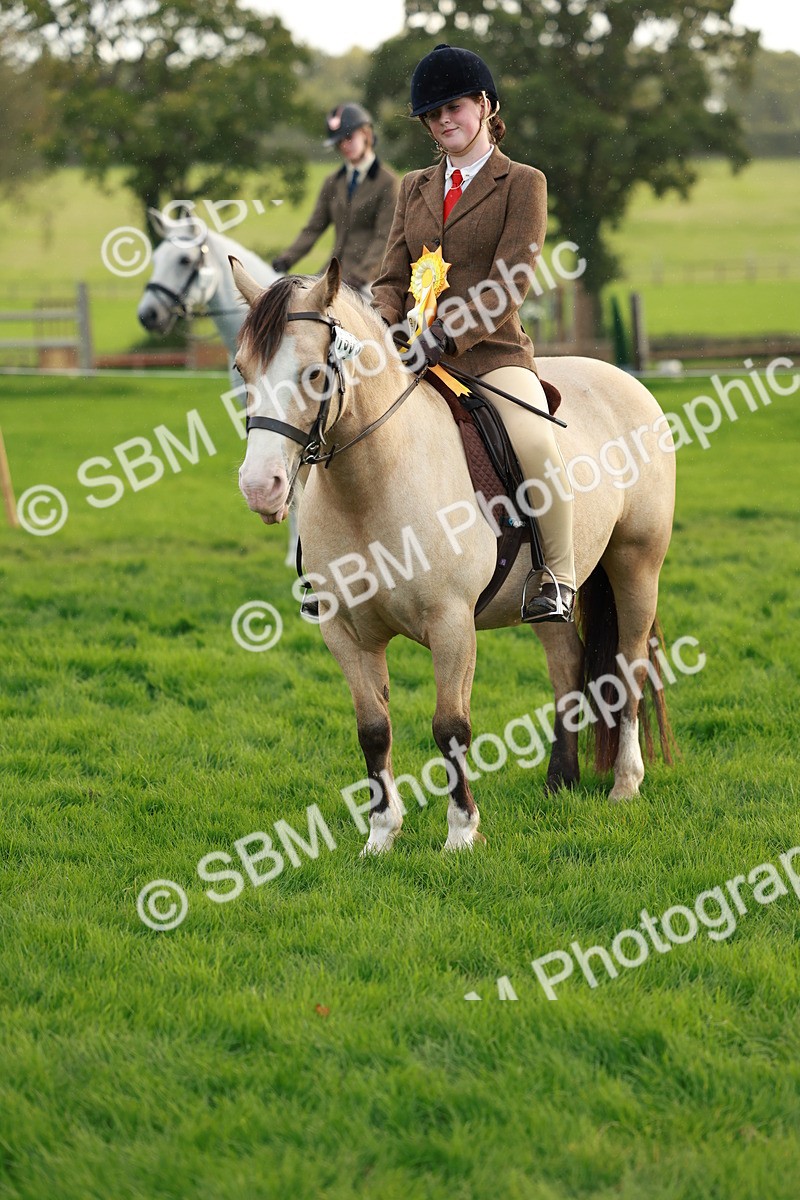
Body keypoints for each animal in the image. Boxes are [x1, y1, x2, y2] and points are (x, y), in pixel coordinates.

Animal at [231, 256, 676, 854]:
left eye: (314, 374)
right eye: (241, 372)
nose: (261, 488)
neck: (374, 483)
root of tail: (621, 378)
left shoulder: (451, 624)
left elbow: (450, 727)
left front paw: (462, 833)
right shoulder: (345, 632)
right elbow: (373, 729)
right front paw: (381, 835)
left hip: (636, 565)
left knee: (628, 669)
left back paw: (625, 785)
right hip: (548, 594)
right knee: (568, 664)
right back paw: (560, 781)